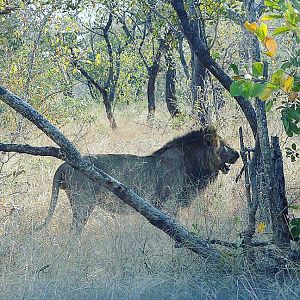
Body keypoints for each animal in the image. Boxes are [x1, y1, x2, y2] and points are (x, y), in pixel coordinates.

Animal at [37, 127, 239, 234]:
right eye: (224, 146)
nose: (237, 154)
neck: (192, 162)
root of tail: (64, 165)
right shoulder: (169, 205)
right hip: (83, 204)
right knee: (74, 231)